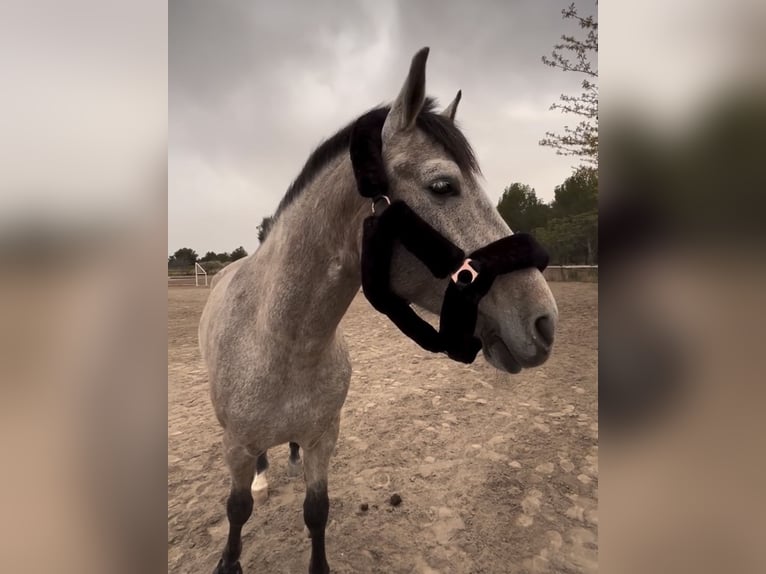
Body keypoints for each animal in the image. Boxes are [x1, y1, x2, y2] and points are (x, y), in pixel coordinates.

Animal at [198, 48, 560, 574]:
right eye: (443, 185)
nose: (544, 321)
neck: (280, 342)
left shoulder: (324, 438)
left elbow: (316, 511)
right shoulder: (237, 447)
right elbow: (237, 508)